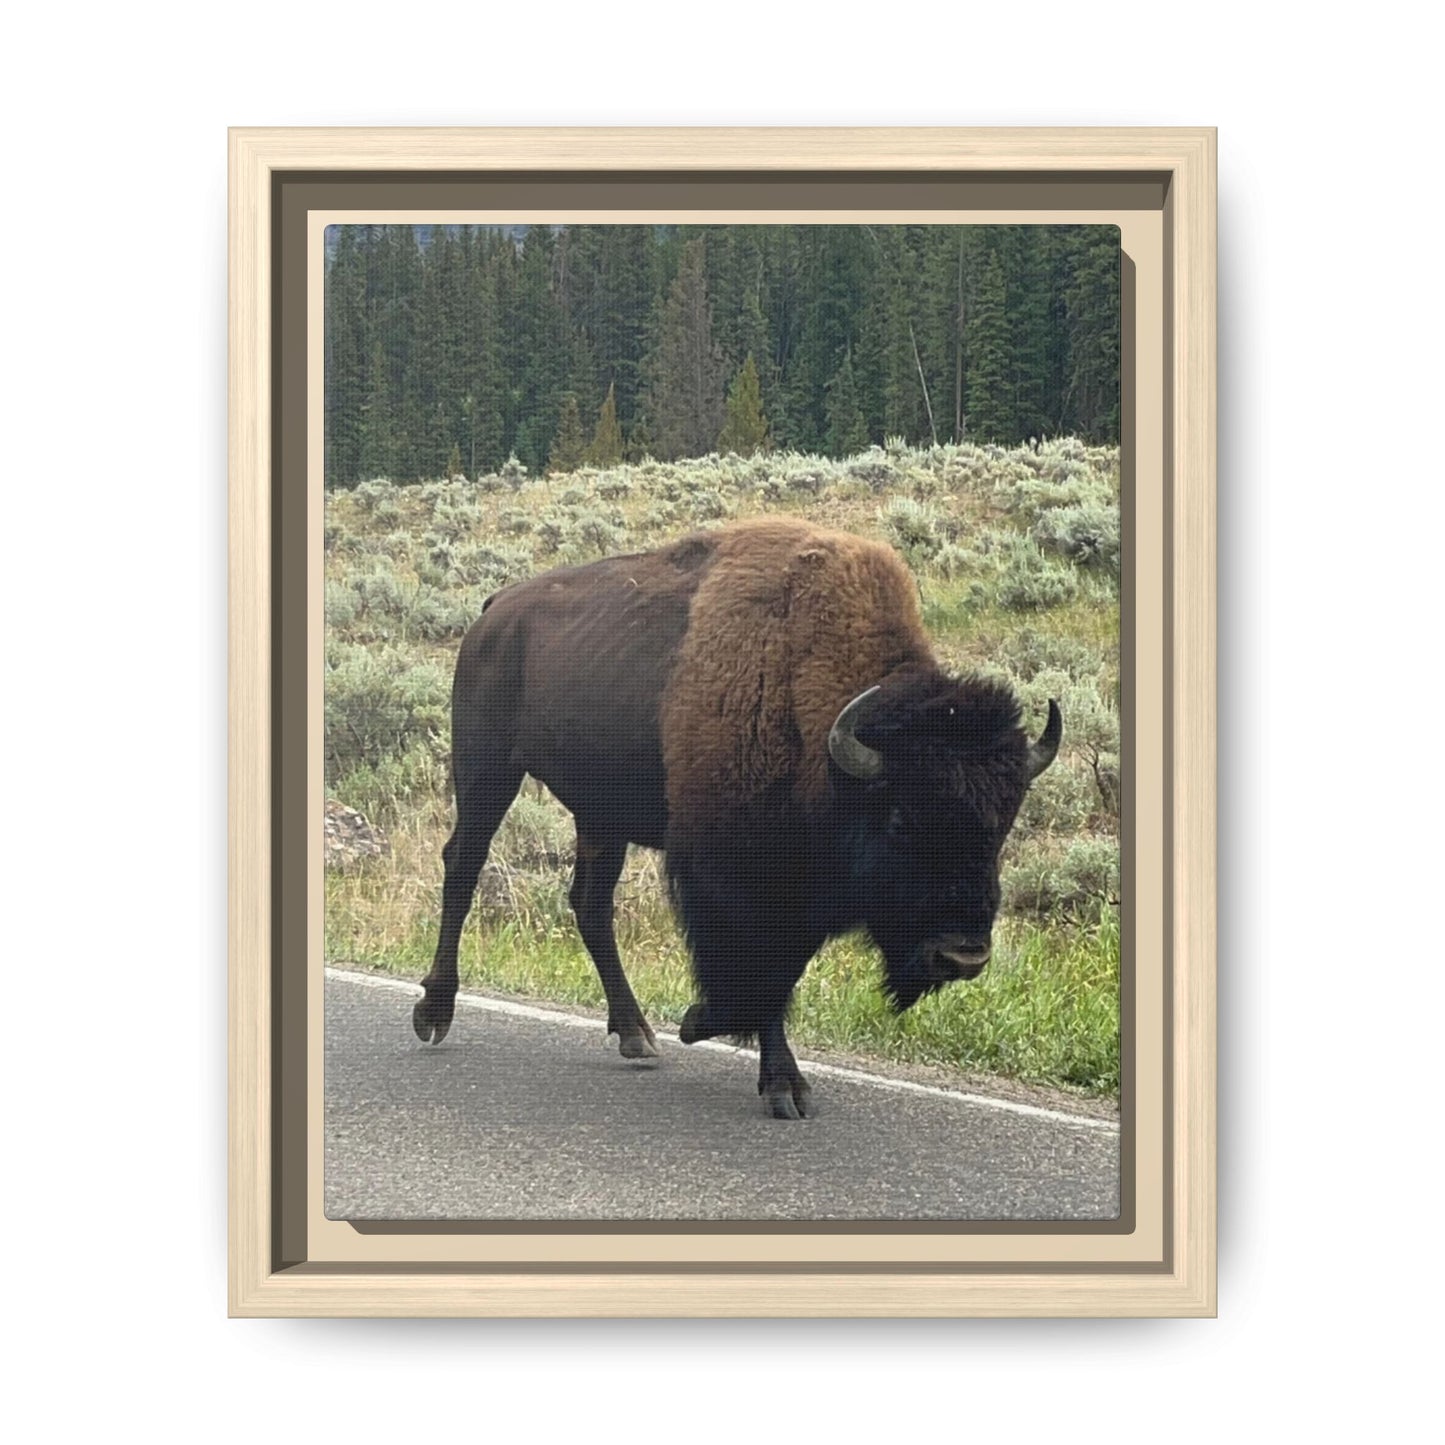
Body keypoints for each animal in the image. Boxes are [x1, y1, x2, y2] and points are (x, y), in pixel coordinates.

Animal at [414, 517, 1061, 1118]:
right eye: (901, 818)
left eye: (1003, 824)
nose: (963, 956)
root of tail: (495, 610)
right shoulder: (734, 876)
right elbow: (759, 970)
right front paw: (754, 1063)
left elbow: (781, 971)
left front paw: (729, 1043)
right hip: (487, 770)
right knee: (463, 867)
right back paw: (434, 1012)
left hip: (601, 813)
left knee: (590, 905)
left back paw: (636, 1035)